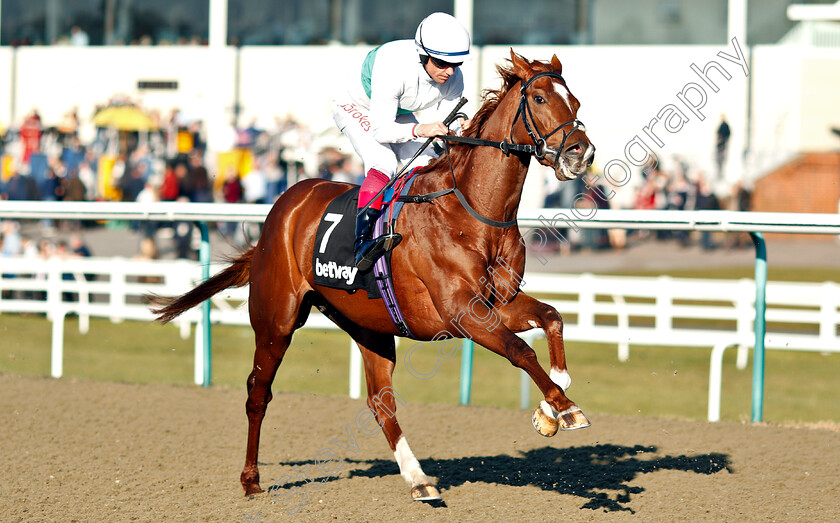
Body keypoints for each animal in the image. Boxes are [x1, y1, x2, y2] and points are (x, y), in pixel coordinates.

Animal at [151, 50, 596, 504]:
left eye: (575, 101)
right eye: (539, 98)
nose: (581, 152)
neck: (472, 210)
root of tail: (285, 205)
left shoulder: (496, 305)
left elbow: (552, 318)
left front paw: (549, 410)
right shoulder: (460, 313)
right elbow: (521, 351)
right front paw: (564, 408)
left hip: (370, 327)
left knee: (381, 403)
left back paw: (420, 480)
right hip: (276, 320)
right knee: (258, 392)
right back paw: (251, 479)